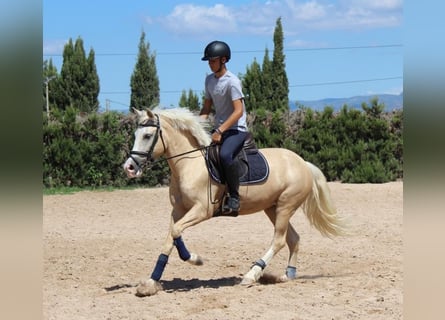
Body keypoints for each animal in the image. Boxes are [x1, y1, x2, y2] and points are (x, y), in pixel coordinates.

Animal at [123, 108, 346, 298]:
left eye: (147, 136)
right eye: (136, 135)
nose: (129, 167)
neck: (190, 164)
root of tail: (303, 163)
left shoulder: (201, 211)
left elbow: (176, 232)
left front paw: (195, 259)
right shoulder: (178, 210)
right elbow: (170, 237)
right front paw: (151, 283)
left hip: (285, 206)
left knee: (280, 240)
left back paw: (251, 275)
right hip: (272, 208)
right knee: (293, 239)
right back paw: (286, 275)